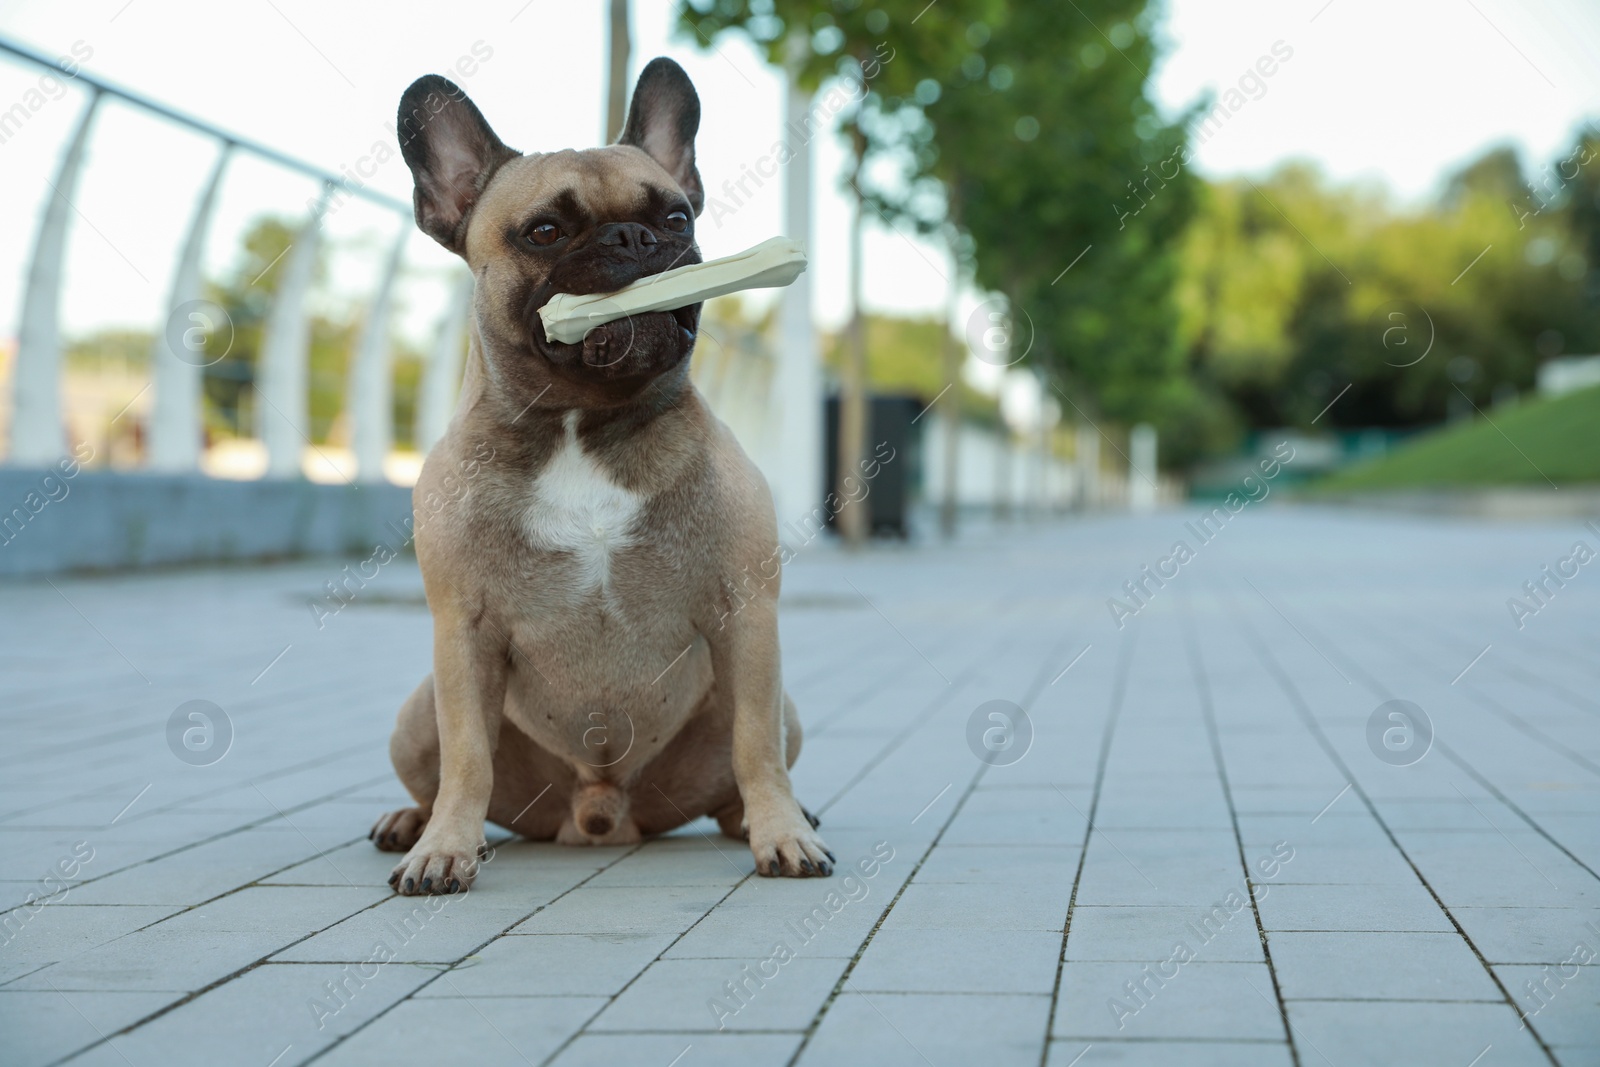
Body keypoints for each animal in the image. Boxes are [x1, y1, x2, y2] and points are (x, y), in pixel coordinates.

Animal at [368, 56, 832, 895]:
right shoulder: (462, 630)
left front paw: (782, 834)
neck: (582, 425)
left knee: (746, 766)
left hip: (777, 706)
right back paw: (413, 824)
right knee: (441, 766)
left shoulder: (747, 615)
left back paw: (761, 818)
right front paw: (445, 848)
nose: (636, 237)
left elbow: (755, 745)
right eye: (545, 231)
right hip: (415, 714)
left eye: (677, 218)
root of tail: (600, 812)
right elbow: (467, 756)